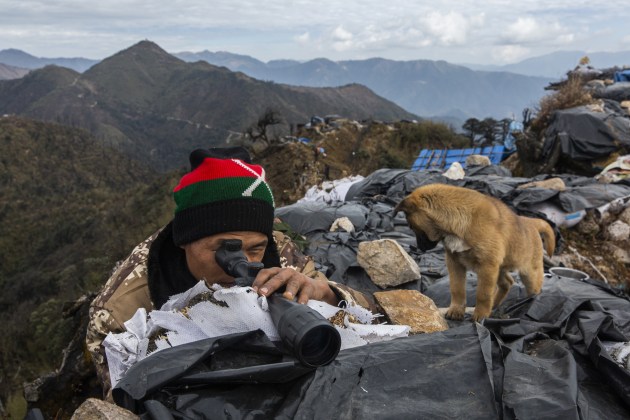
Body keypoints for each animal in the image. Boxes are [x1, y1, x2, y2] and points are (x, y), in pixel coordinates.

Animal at [398, 184, 556, 322]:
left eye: (411, 226)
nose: (419, 248)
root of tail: (531, 222)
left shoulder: (487, 266)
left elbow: (483, 294)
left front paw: (481, 315)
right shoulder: (455, 263)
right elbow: (457, 288)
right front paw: (456, 310)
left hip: (529, 273)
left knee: (531, 288)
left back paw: (529, 302)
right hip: (500, 268)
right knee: (507, 283)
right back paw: (495, 305)